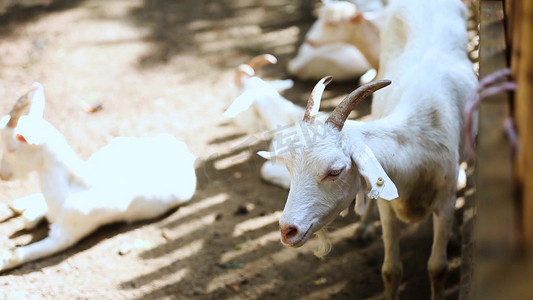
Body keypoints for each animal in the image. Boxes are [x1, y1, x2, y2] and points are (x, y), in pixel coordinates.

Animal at [0, 82, 196, 272]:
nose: (3, 175)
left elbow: (18, 253)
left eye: (11, 148)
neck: (71, 188)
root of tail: (182, 148)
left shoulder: (66, 235)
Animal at [260, 0, 476, 298]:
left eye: (335, 171)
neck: (419, 140)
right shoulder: (388, 205)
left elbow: (437, 267)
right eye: (290, 169)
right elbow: (391, 270)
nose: (287, 230)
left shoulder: (445, 199)